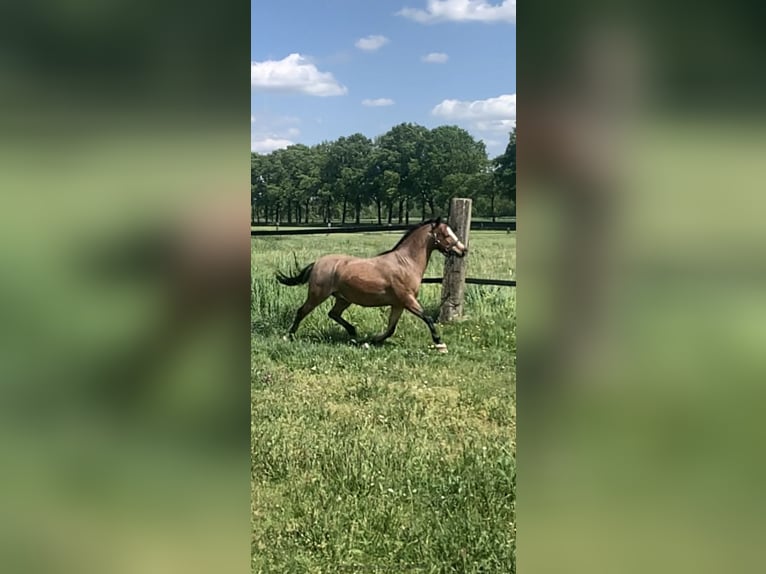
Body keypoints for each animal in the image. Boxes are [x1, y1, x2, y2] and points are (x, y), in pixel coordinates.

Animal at [276, 218, 468, 354]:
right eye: (445, 234)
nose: (463, 250)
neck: (405, 263)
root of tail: (317, 263)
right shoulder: (407, 299)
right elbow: (427, 318)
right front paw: (440, 344)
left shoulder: (398, 304)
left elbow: (391, 329)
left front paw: (372, 341)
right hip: (318, 294)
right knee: (302, 311)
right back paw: (289, 336)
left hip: (344, 299)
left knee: (333, 313)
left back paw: (354, 335)